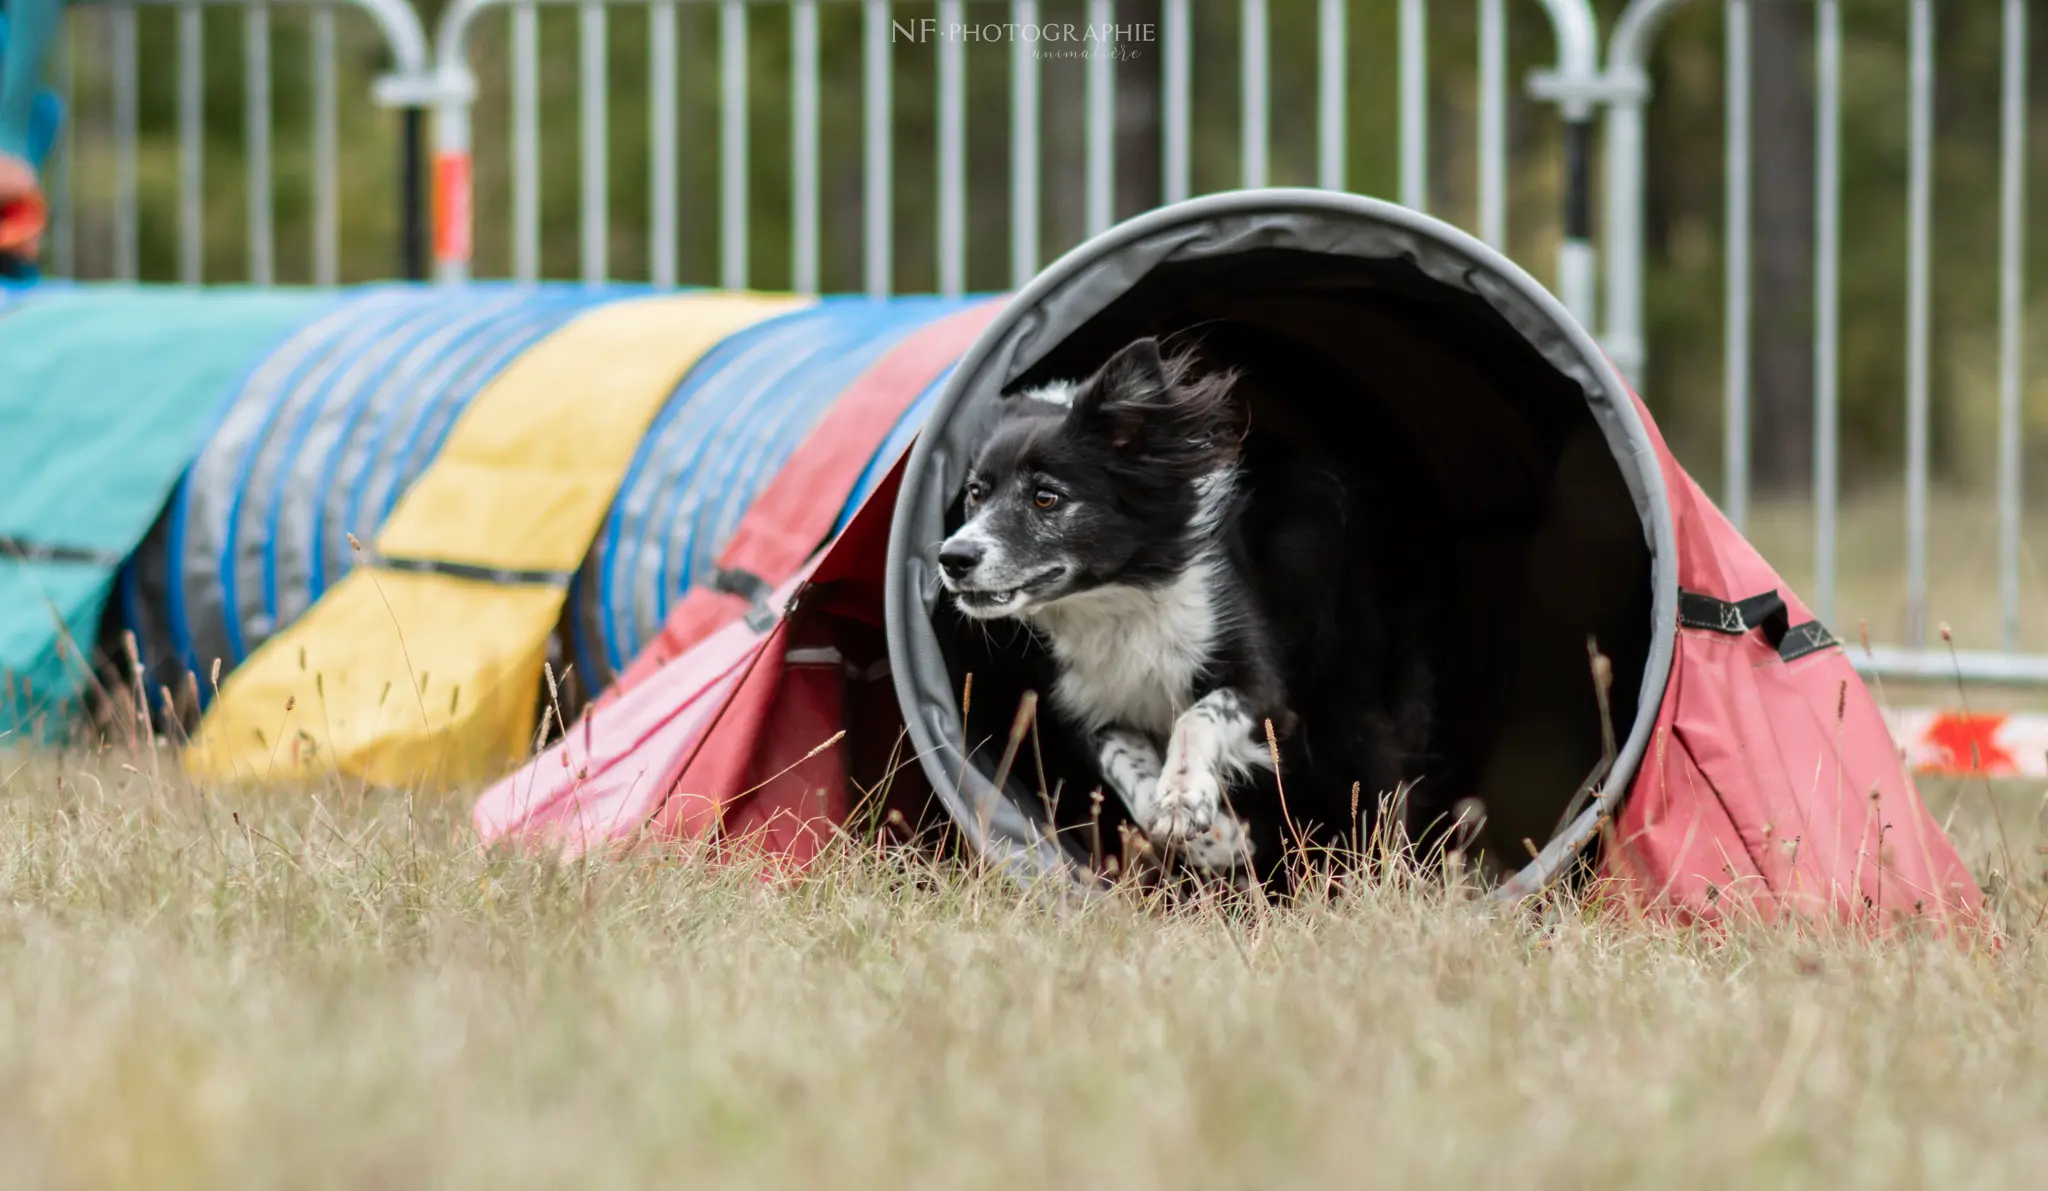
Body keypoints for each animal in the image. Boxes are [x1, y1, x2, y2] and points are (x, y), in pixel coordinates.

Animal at [937, 333, 1449, 875]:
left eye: (1046, 498)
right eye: (976, 493)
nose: (953, 558)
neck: (1115, 599)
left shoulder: (1261, 686)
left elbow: (1197, 717)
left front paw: (1184, 796)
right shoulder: (1086, 703)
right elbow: (1124, 770)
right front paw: (1214, 838)